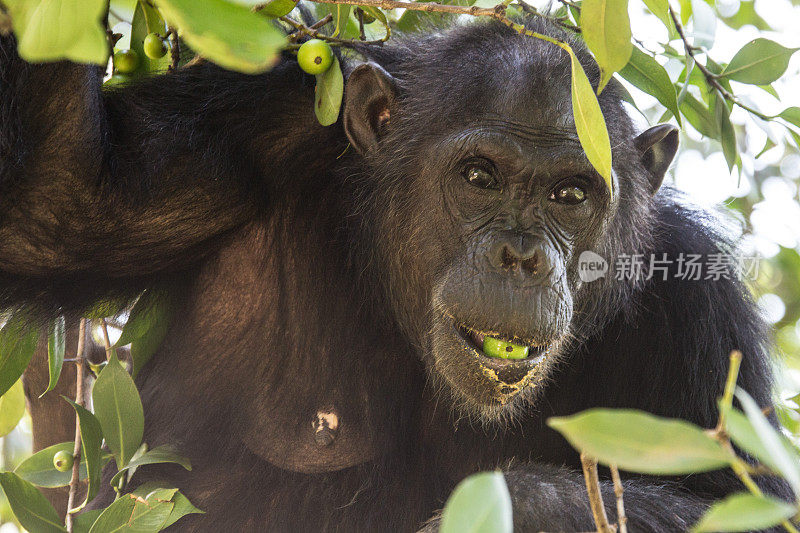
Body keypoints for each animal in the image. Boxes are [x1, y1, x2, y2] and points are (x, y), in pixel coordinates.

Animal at [0, 14, 788, 528]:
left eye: (571, 195)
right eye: (478, 176)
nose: (522, 255)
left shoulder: (702, 316)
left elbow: (745, 501)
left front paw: (521, 504)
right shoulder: (243, 133)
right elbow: (58, 205)